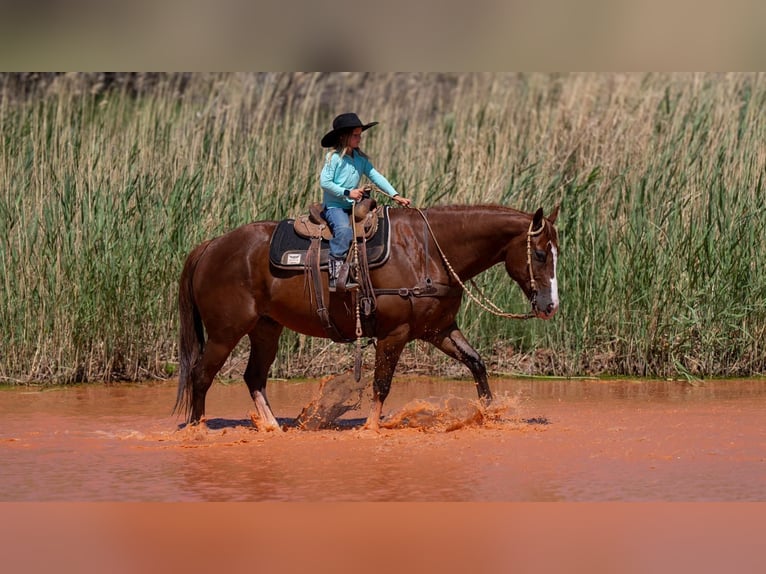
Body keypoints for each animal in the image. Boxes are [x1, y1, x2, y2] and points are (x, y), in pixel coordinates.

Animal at [176, 204, 560, 432]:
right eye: (541, 254)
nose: (550, 305)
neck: (427, 251)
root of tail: (211, 246)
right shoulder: (395, 334)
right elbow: (381, 384)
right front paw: (372, 428)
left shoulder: (438, 329)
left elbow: (477, 363)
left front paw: (490, 414)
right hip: (225, 333)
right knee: (201, 375)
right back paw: (197, 430)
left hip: (265, 330)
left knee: (253, 377)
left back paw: (273, 428)